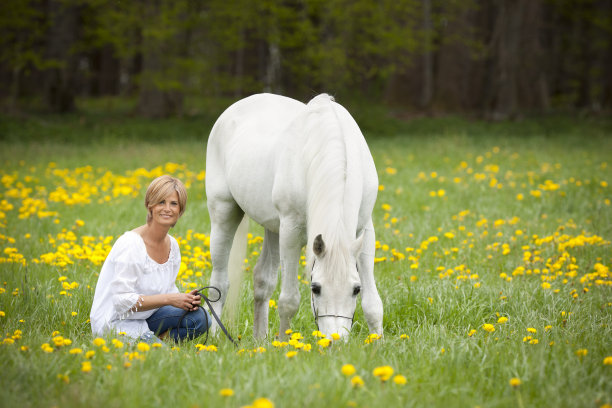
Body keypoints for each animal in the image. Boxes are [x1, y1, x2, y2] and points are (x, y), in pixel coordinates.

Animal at [208, 94, 384, 340]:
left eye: (356, 289)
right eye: (315, 288)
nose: (336, 341)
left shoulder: (364, 231)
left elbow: (373, 304)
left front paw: (378, 343)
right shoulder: (290, 233)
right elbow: (289, 301)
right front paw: (283, 343)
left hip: (273, 229)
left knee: (262, 280)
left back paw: (260, 340)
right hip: (223, 213)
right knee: (220, 281)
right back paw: (214, 337)